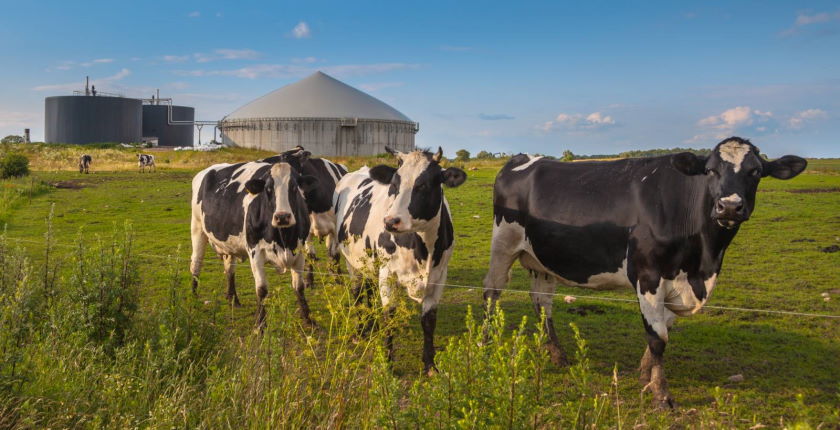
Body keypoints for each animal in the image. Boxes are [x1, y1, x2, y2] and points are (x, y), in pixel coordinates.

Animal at [190, 157, 318, 326]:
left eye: (294, 188)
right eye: (268, 189)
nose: (282, 217)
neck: (283, 238)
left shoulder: (299, 251)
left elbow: (299, 287)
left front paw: (308, 319)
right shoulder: (255, 252)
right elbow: (262, 289)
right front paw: (260, 323)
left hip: (229, 245)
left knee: (229, 269)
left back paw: (233, 299)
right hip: (197, 228)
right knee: (196, 264)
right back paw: (193, 298)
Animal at [334, 146, 466, 372]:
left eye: (423, 185)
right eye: (394, 184)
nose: (390, 221)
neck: (423, 250)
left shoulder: (439, 277)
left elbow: (429, 321)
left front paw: (430, 365)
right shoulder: (388, 274)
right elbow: (390, 317)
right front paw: (387, 364)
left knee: (368, 290)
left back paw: (371, 325)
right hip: (352, 261)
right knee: (358, 293)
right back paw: (360, 331)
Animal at [486, 137, 808, 406]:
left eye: (756, 171)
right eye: (710, 170)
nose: (729, 207)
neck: (702, 262)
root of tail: (524, 158)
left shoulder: (678, 282)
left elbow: (664, 329)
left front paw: (646, 375)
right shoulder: (648, 274)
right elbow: (657, 337)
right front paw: (661, 393)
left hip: (541, 260)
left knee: (543, 303)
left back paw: (556, 354)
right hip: (503, 243)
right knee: (493, 291)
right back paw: (486, 341)